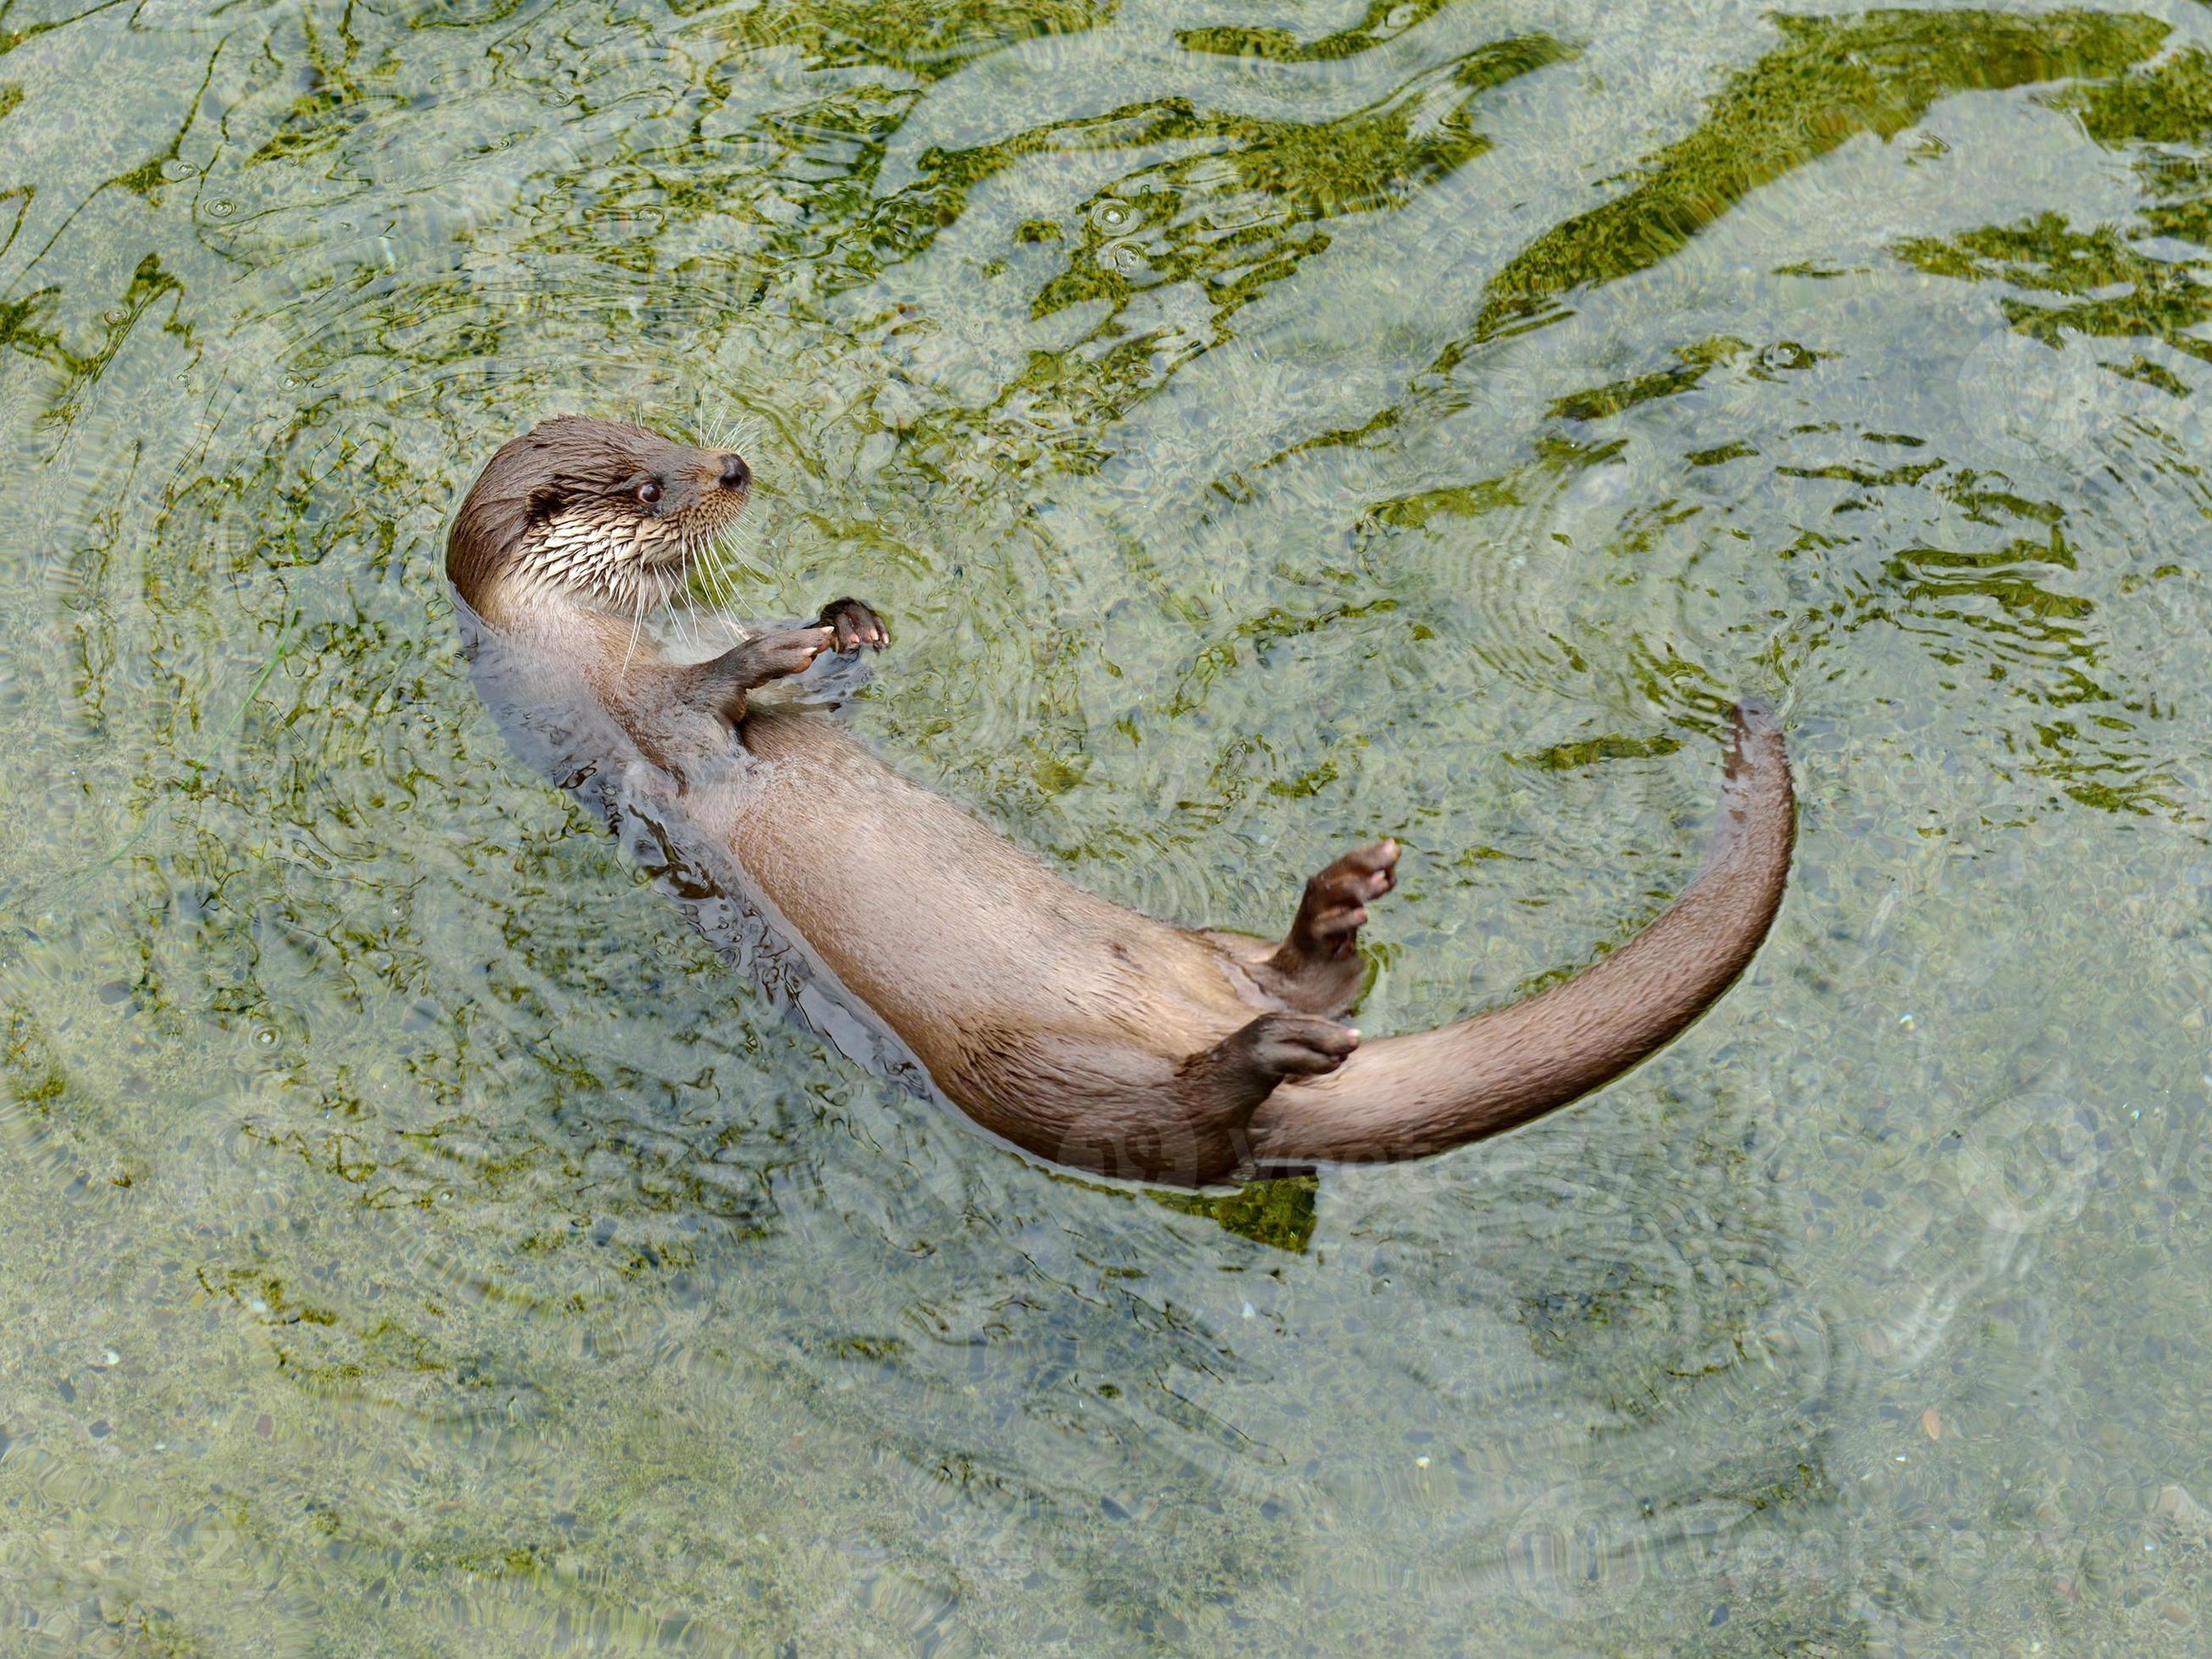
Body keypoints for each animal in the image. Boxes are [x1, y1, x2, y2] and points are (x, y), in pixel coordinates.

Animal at [449, 417, 1796, 1194]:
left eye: (671, 422)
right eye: (646, 483)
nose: (733, 466)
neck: (611, 644)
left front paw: (849, 621)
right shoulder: (615, 732)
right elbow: (699, 720)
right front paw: (775, 649)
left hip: (1199, 946)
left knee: (1309, 984)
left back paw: (1335, 912)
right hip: (1025, 1079)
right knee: (1190, 1128)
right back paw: (1260, 1054)